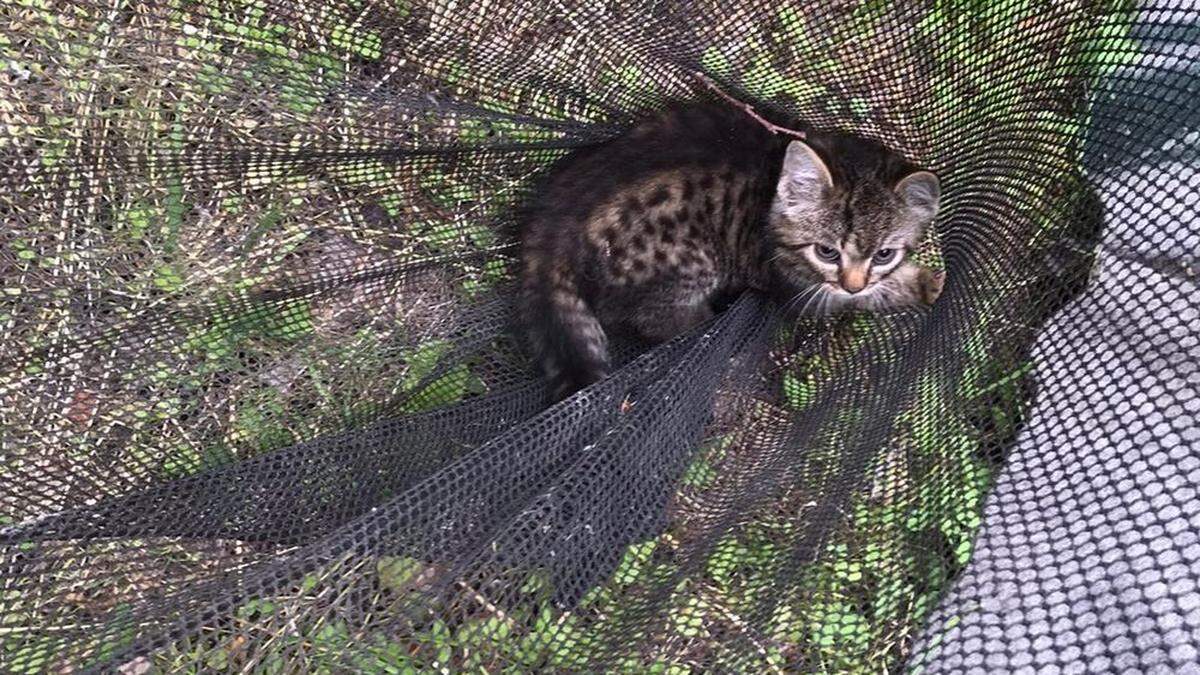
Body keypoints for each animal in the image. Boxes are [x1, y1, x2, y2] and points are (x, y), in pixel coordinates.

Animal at [520, 102, 940, 396]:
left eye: (884, 254)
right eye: (826, 252)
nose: (853, 283)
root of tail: (554, 228)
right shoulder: (795, 284)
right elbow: (854, 300)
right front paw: (921, 285)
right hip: (691, 259)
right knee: (648, 316)